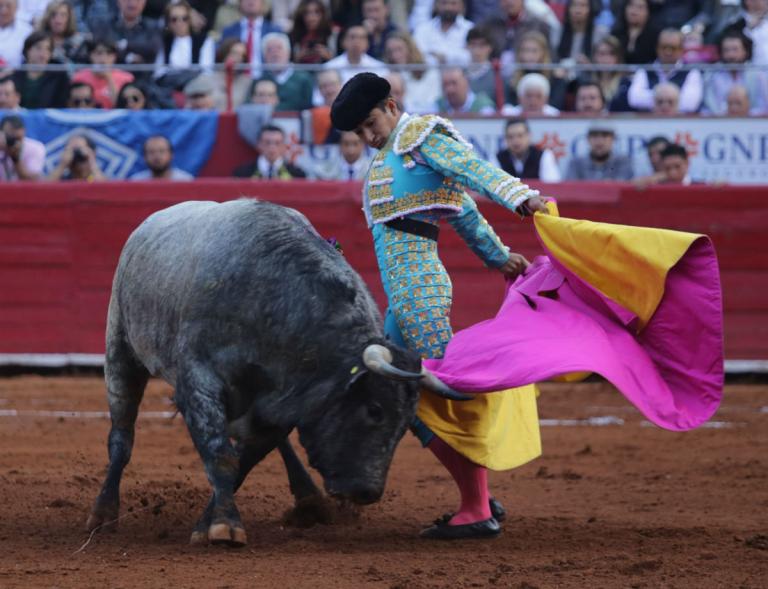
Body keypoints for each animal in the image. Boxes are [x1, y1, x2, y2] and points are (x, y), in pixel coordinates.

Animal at [86, 199, 464, 548]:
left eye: (406, 425)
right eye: (374, 410)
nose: (367, 492)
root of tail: (148, 224)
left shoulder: (284, 404)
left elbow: (243, 461)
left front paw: (208, 523)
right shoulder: (198, 383)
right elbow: (221, 455)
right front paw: (224, 526)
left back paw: (309, 500)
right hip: (121, 350)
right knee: (121, 437)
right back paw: (103, 515)